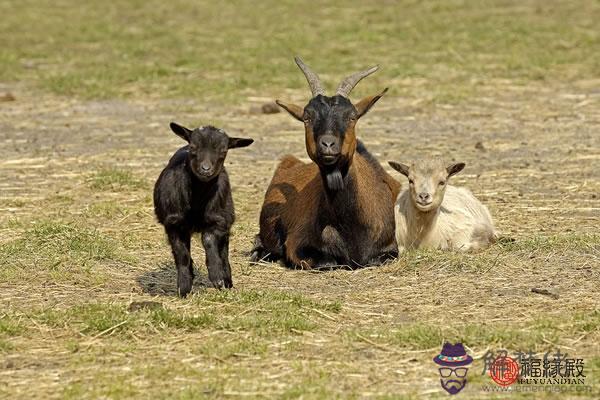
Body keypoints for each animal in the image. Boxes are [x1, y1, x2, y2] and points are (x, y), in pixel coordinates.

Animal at [251, 57, 400, 268]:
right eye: (307, 117)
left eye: (352, 116)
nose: (328, 144)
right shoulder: (298, 245)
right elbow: (327, 262)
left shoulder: (389, 249)